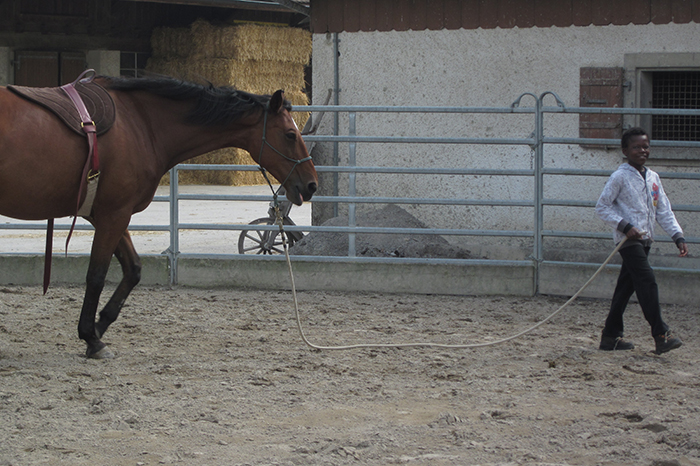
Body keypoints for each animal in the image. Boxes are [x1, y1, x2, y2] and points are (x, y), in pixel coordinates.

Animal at [0, 74, 318, 359]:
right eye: (290, 135)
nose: (311, 184)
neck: (141, 124)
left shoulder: (111, 217)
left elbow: (133, 270)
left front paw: (99, 327)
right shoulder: (114, 216)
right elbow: (96, 275)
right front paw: (92, 338)